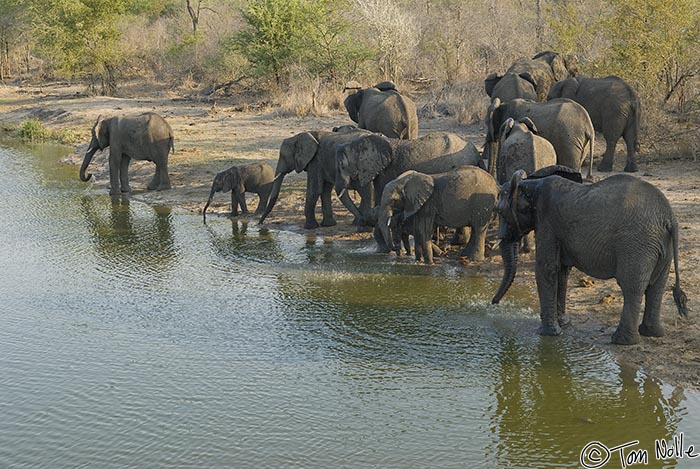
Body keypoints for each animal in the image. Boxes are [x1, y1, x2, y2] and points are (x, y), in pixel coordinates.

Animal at [492, 165, 688, 344]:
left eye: (499, 211)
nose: (493, 304)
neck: (529, 184)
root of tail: (670, 218)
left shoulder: (547, 222)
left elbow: (546, 269)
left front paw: (547, 333)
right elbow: (561, 270)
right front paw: (563, 324)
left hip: (637, 243)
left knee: (632, 287)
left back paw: (622, 341)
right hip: (662, 245)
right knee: (657, 286)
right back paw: (652, 333)